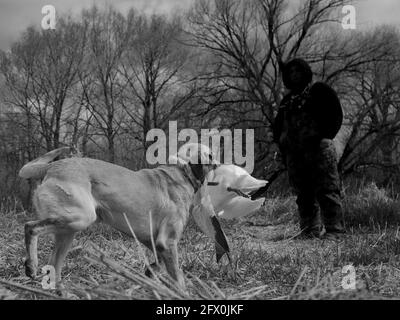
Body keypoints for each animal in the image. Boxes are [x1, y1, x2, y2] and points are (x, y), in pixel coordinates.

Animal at [18, 142, 220, 292]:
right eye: (210, 156)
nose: (219, 163)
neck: (181, 171)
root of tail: (53, 165)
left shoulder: (156, 243)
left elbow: (157, 264)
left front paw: (150, 275)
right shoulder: (167, 242)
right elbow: (178, 277)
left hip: (68, 232)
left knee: (54, 266)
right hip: (80, 218)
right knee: (30, 227)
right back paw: (31, 265)